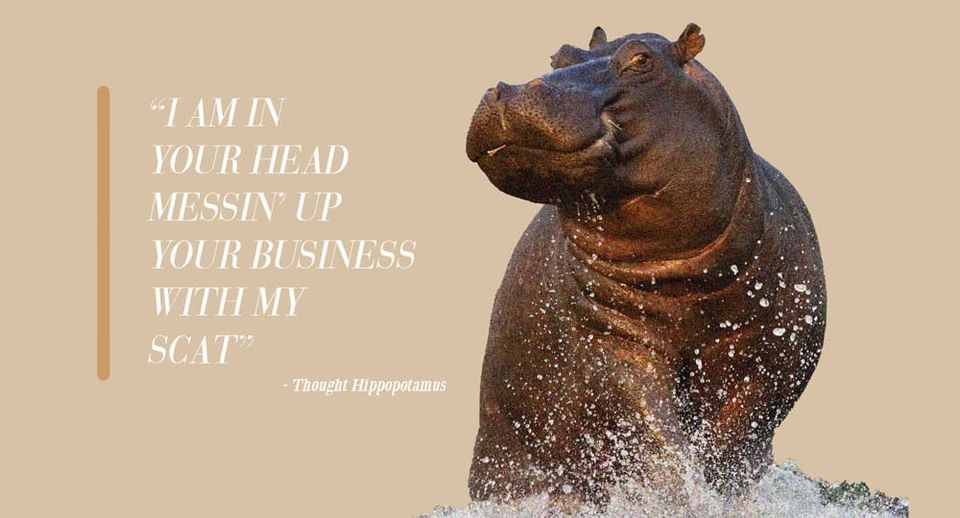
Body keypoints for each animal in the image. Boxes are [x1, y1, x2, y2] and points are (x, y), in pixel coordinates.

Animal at [465, 24, 826, 505]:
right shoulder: (615, 342)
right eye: (557, 55)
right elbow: (659, 438)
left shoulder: (768, 355)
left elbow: (734, 447)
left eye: (642, 59)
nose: (510, 90)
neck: (688, 281)